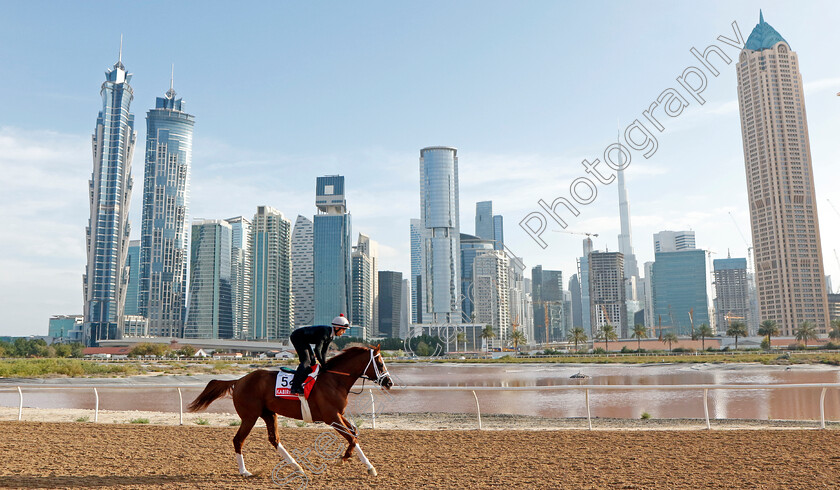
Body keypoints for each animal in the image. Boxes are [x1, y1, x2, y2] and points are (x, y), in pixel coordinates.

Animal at [189, 346, 392, 476]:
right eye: (380, 363)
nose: (389, 382)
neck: (335, 380)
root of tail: (238, 380)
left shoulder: (338, 414)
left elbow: (354, 433)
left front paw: (357, 462)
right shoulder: (331, 417)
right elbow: (351, 437)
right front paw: (356, 462)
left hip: (268, 414)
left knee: (274, 439)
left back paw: (296, 466)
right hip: (250, 416)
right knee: (238, 440)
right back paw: (244, 471)